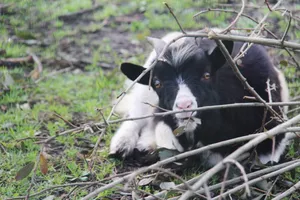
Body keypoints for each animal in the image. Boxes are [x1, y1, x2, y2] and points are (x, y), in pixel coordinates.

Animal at [109, 30, 290, 166]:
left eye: (207, 75)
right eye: (157, 83)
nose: (184, 105)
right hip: (143, 93)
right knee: (137, 114)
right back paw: (122, 146)